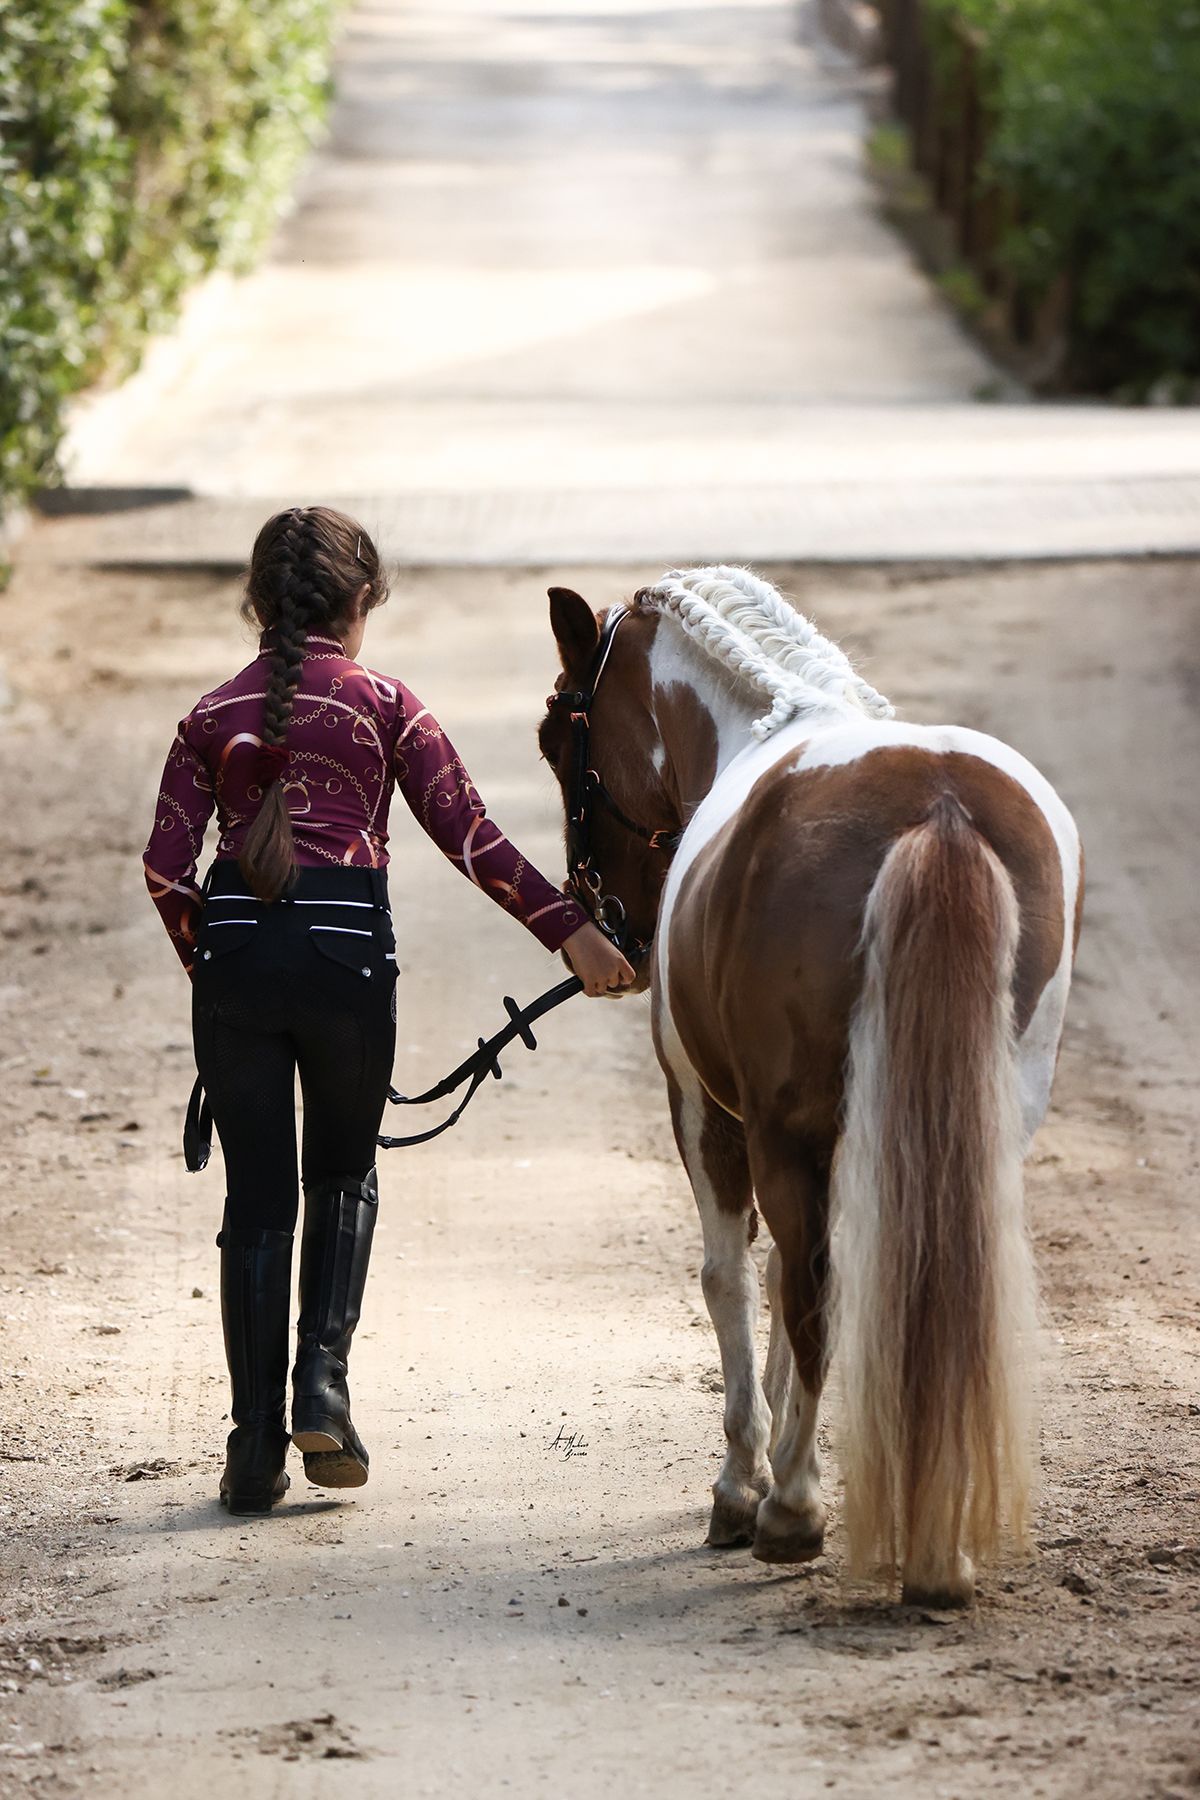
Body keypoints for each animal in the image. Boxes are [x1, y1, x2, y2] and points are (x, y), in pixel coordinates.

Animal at [538, 566, 1082, 1607]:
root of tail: (939, 807)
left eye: (556, 740)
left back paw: (792, 1510)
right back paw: (939, 1546)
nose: (610, 932)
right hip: (981, 1122)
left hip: (786, 1130)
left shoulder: (712, 1114)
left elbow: (736, 1280)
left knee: (813, 1286)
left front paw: (742, 1487)